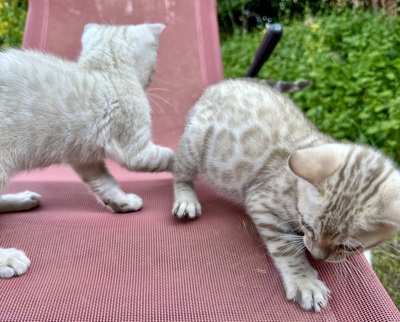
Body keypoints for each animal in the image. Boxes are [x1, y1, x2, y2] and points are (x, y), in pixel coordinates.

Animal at [172, 78, 400, 312]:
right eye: (307, 226)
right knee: (180, 172)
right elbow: (286, 246)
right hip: (194, 142)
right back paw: (186, 199)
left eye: (347, 247)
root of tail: (224, 83)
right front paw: (304, 282)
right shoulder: (261, 203)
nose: (317, 256)